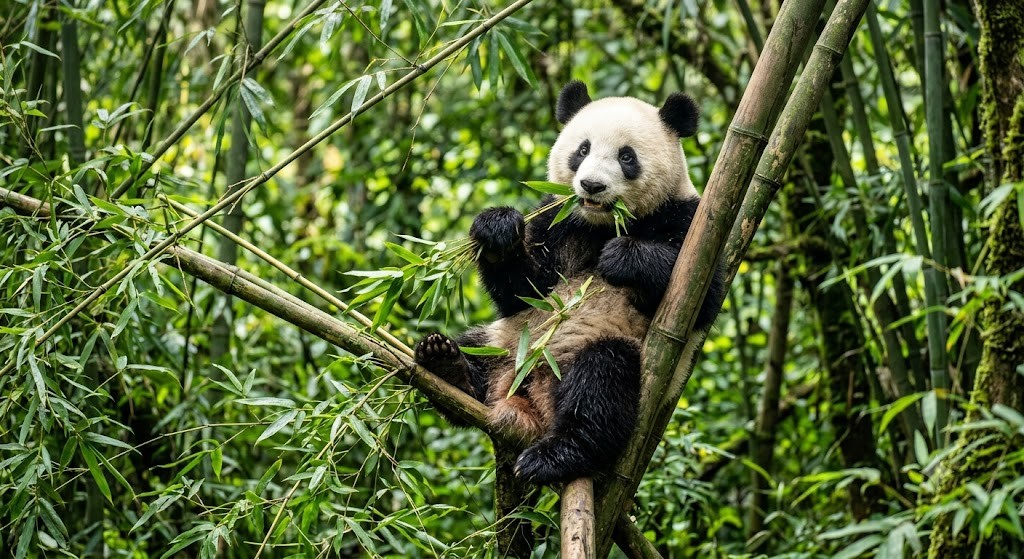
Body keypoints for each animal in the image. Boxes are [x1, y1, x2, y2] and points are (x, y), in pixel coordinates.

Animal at [415, 81, 724, 485]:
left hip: (610, 355)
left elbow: (704, 294)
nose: (592, 185)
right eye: (583, 149)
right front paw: (498, 230)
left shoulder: (694, 221)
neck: (601, 224)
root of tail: (531, 403)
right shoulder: (557, 221)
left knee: (601, 385)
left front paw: (623, 258)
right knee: (477, 348)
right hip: (506, 341)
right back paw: (447, 364)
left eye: (627, 157)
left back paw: (555, 455)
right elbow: (523, 292)